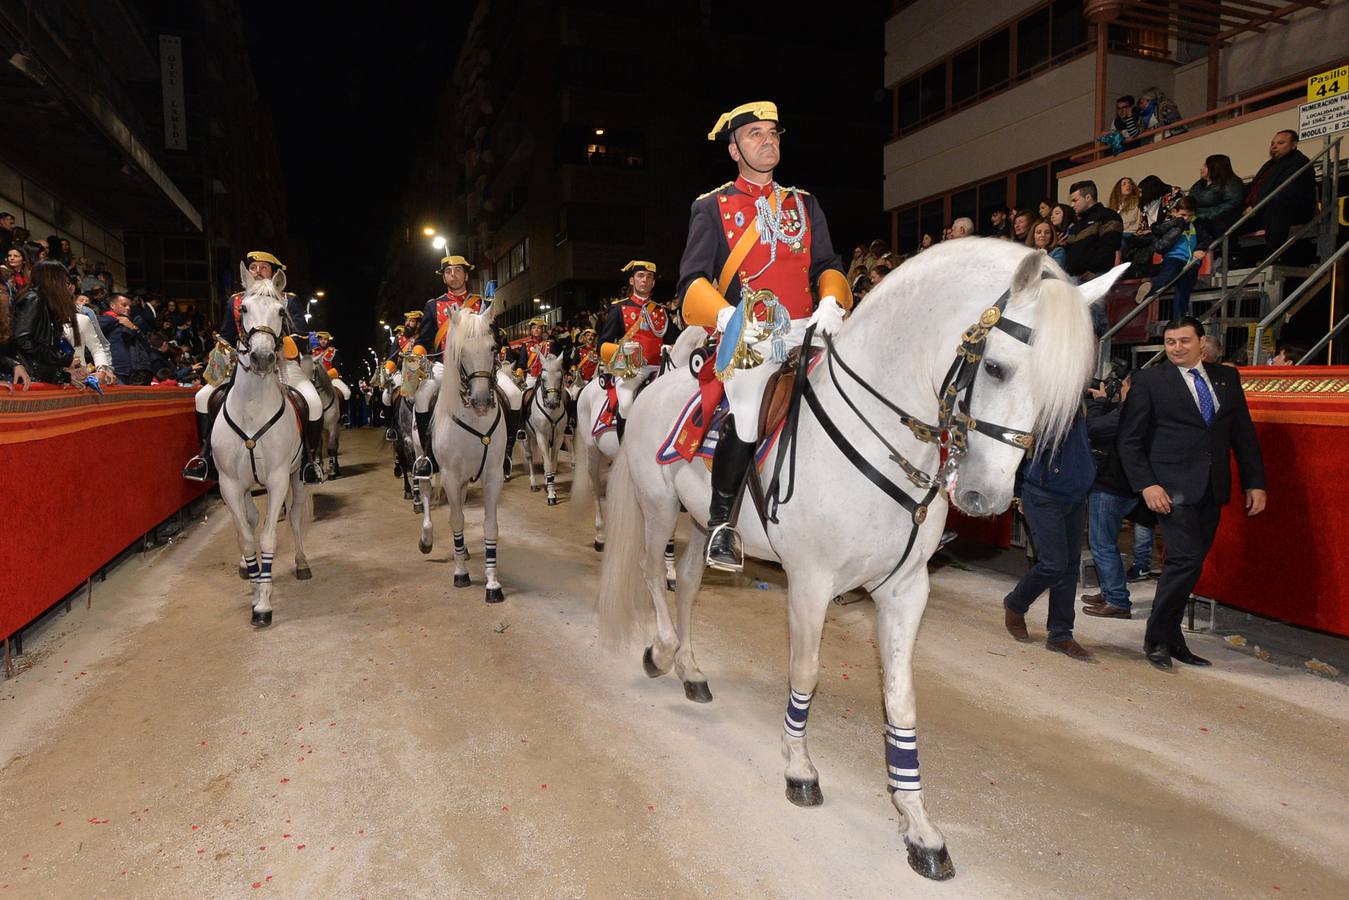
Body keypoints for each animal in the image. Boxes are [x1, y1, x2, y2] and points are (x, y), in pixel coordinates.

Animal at [213, 264, 312, 631]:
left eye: (282, 311)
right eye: (242, 308)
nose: (263, 357)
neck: (253, 406)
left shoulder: (279, 478)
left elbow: (269, 536)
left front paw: (264, 605)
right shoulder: (229, 484)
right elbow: (246, 536)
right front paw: (255, 588)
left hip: (297, 476)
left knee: (295, 516)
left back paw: (301, 563)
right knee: (250, 519)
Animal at [520, 353, 569, 507]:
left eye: (560, 377)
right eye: (543, 378)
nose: (552, 403)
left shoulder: (558, 437)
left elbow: (552, 464)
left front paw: (551, 488)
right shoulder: (541, 436)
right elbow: (547, 464)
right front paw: (551, 495)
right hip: (528, 437)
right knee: (529, 456)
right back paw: (533, 484)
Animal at [596, 242, 1122, 885]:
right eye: (996, 368)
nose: (987, 499)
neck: (881, 441)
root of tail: (658, 383)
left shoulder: (905, 591)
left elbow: (900, 699)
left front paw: (918, 824)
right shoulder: (810, 583)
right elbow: (805, 673)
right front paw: (799, 769)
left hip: (700, 523)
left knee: (691, 583)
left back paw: (691, 670)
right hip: (657, 507)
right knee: (655, 574)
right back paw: (661, 652)